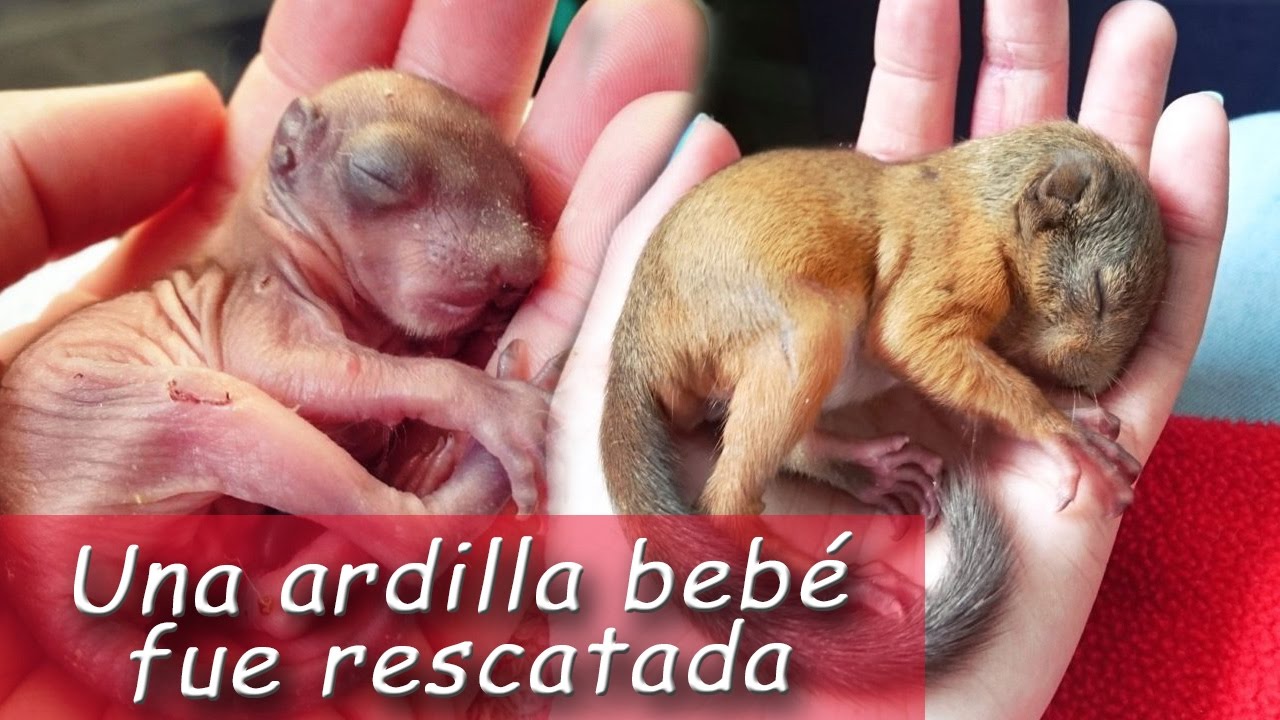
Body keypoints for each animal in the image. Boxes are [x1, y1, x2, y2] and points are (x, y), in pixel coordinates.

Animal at [600, 120, 1167, 693]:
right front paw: (1062, 431)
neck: (981, 199)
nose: (1093, 380)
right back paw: (827, 581)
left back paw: (867, 467)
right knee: (728, 504)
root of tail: (633, 350)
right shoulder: (959, 256)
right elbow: (910, 335)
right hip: (800, 326)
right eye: (1099, 293)